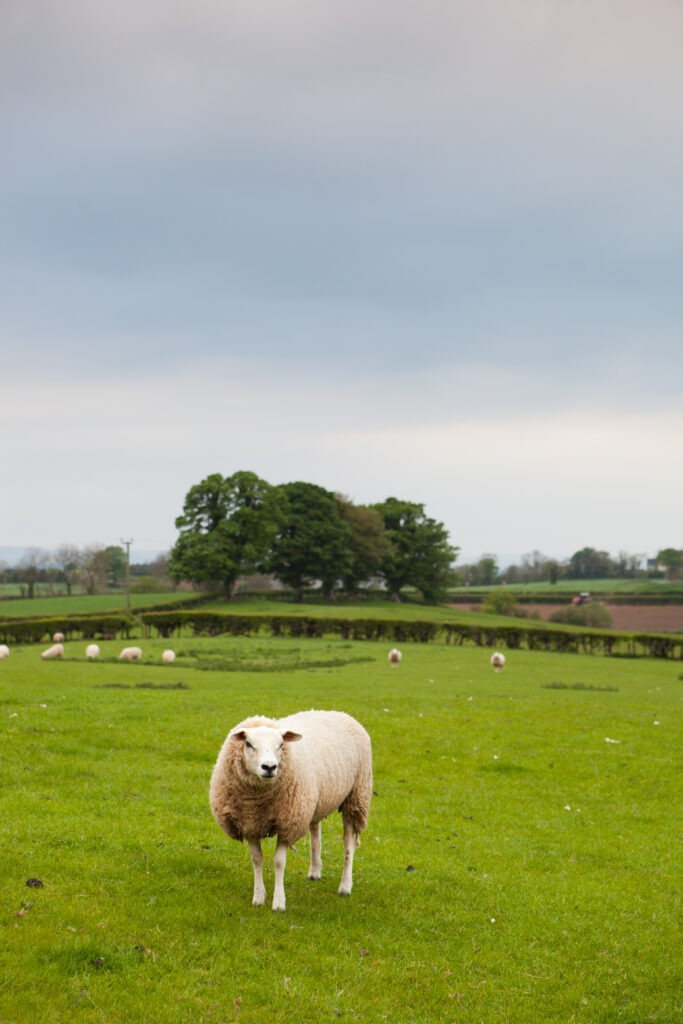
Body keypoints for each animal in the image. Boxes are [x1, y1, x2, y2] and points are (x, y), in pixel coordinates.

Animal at [210, 709, 373, 912]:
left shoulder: (288, 824)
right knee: (315, 832)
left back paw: (345, 885)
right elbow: (256, 859)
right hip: (313, 800)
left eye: (281, 744)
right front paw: (258, 897)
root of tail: (336, 712)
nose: (269, 767)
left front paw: (279, 902)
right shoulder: (250, 823)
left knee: (348, 844)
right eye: (248, 744)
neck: (256, 801)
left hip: (356, 796)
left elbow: (279, 862)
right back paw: (315, 870)